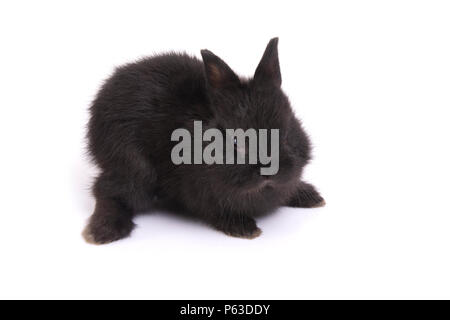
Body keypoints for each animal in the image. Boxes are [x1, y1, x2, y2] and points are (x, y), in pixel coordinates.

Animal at [83, 37, 324, 244]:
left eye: (286, 133)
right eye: (235, 142)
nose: (268, 169)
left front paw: (311, 196)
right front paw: (244, 228)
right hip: (136, 170)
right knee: (105, 190)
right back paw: (104, 231)